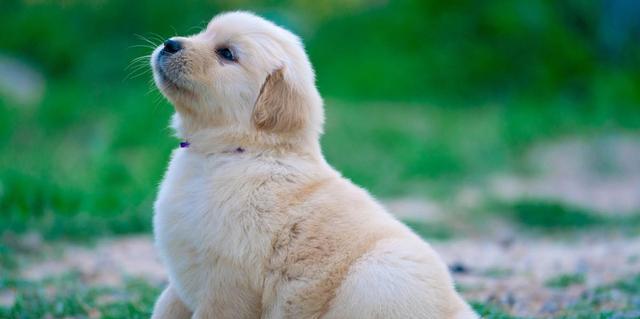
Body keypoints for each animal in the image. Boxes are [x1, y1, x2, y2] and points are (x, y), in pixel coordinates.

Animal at [150, 10, 478, 319]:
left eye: (226, 54)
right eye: (204, 33)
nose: (169, 44)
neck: (231, 151)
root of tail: (462, 309)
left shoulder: (229, 283)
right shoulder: (181, 283)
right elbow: (164, 307)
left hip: (378, 271)